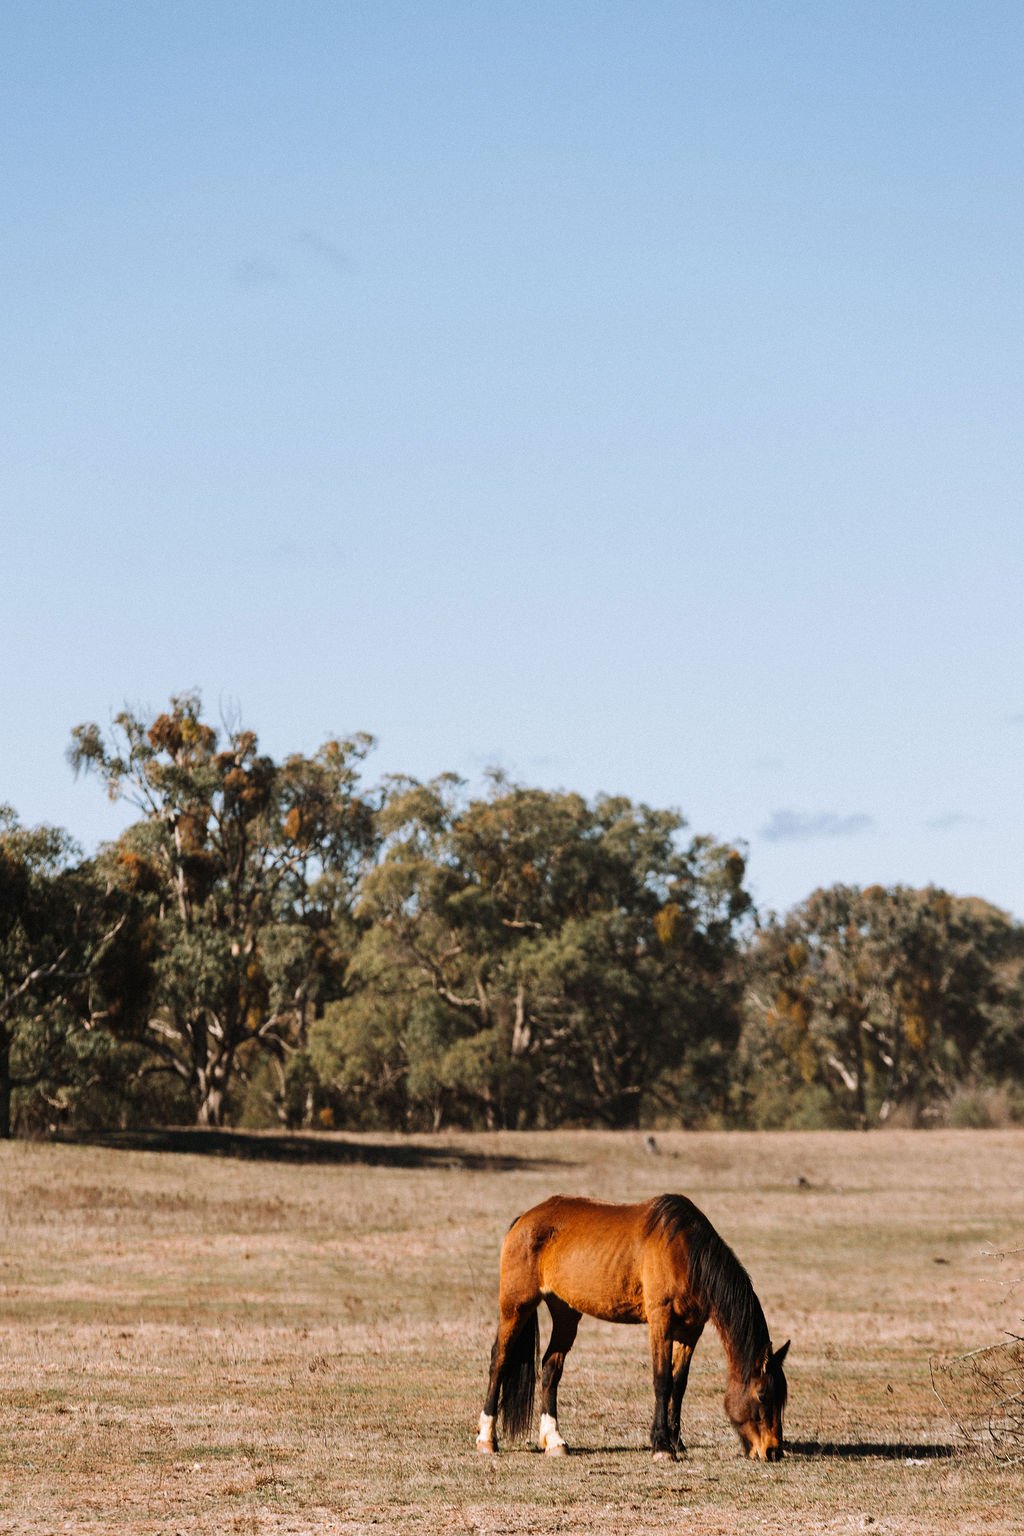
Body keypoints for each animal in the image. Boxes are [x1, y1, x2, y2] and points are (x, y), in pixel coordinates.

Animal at [475, 1193, 789, 1461]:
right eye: (762, 1395)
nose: (772, 1450)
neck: (686, 1252)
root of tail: (524, 1219)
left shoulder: (691, 1331)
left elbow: (679, 1385)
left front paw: (677, 1443)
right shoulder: (661, 1321)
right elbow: (662, 1381)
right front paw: (662, 1446)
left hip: (565, 1312)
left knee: (551, 1368)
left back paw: (555, 1441)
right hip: (516, 1306)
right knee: (499, 1360)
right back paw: (487, 1439)